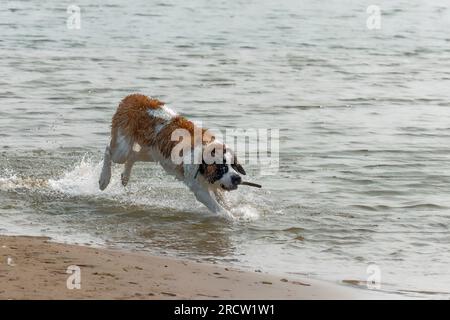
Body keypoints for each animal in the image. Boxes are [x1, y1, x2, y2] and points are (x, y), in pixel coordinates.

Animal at [98, 94, 246, 214]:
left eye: (233, 165)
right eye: (222, 167)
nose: (237, 178)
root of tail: (131, 97)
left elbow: (221, 199)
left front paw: (234, 209)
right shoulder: (199, 189)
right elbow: (217, 207)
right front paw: (231, 217)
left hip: (153, 153)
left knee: (133, 156)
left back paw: (125, 177)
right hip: (122, 149)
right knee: (109, 150)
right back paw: (104, 179)